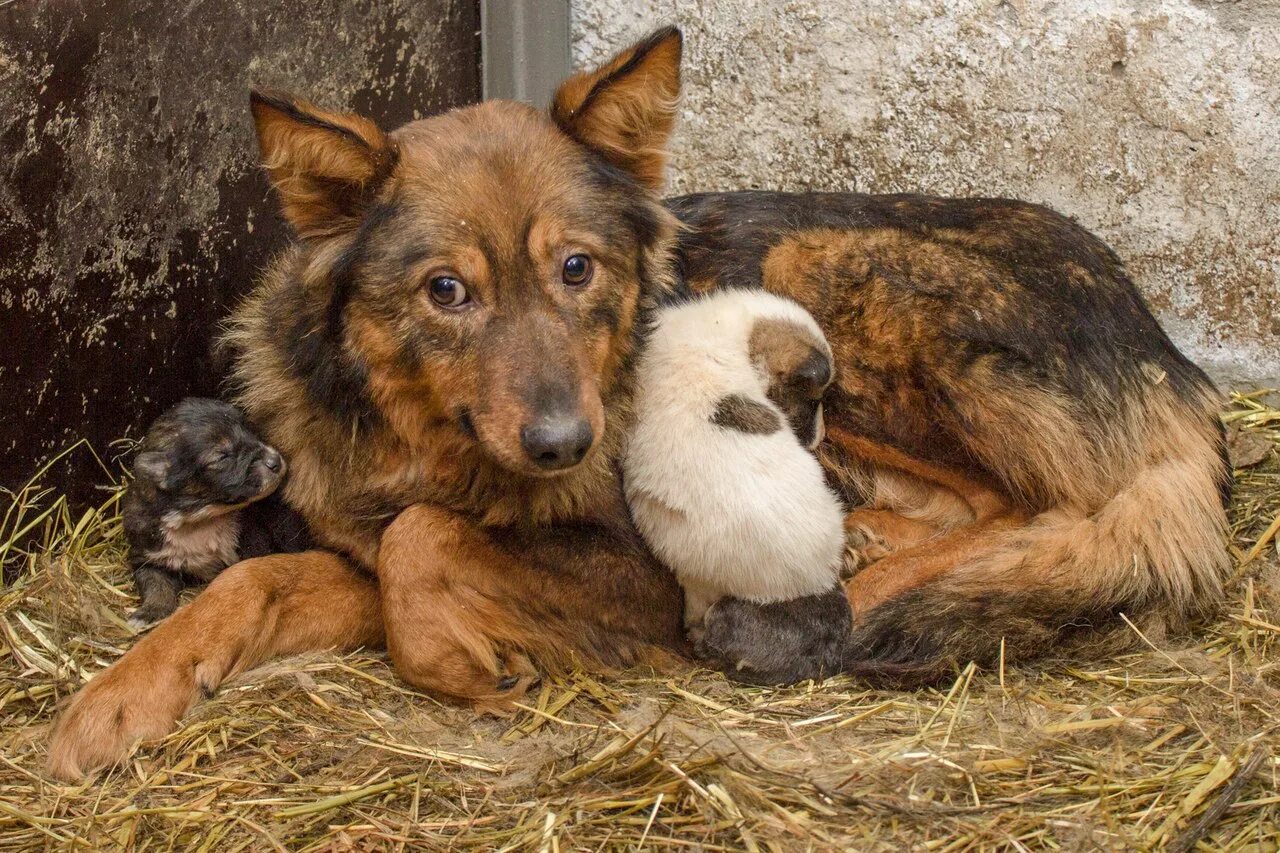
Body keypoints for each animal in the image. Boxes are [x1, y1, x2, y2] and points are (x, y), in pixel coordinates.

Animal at [122, 397, 307, 625]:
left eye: (252, 431)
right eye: (222, 457)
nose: (276, 461)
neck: (199, 519)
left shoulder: (253, 546)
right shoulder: (147, 554)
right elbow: (155, 584)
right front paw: (147, 613)